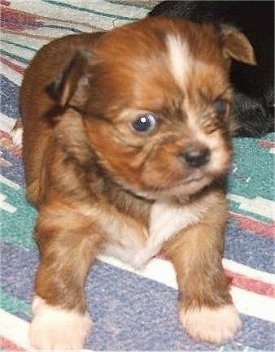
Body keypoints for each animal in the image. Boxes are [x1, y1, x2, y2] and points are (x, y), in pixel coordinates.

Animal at [21, 17, 256, 350]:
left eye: (221, 107)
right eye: (143, 123)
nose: (199, 155)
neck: (148, 197)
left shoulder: (205, 217)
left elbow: (204, 262)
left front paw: (210, 313)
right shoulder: (66, 219)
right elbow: (60, 269)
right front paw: (59, 324)